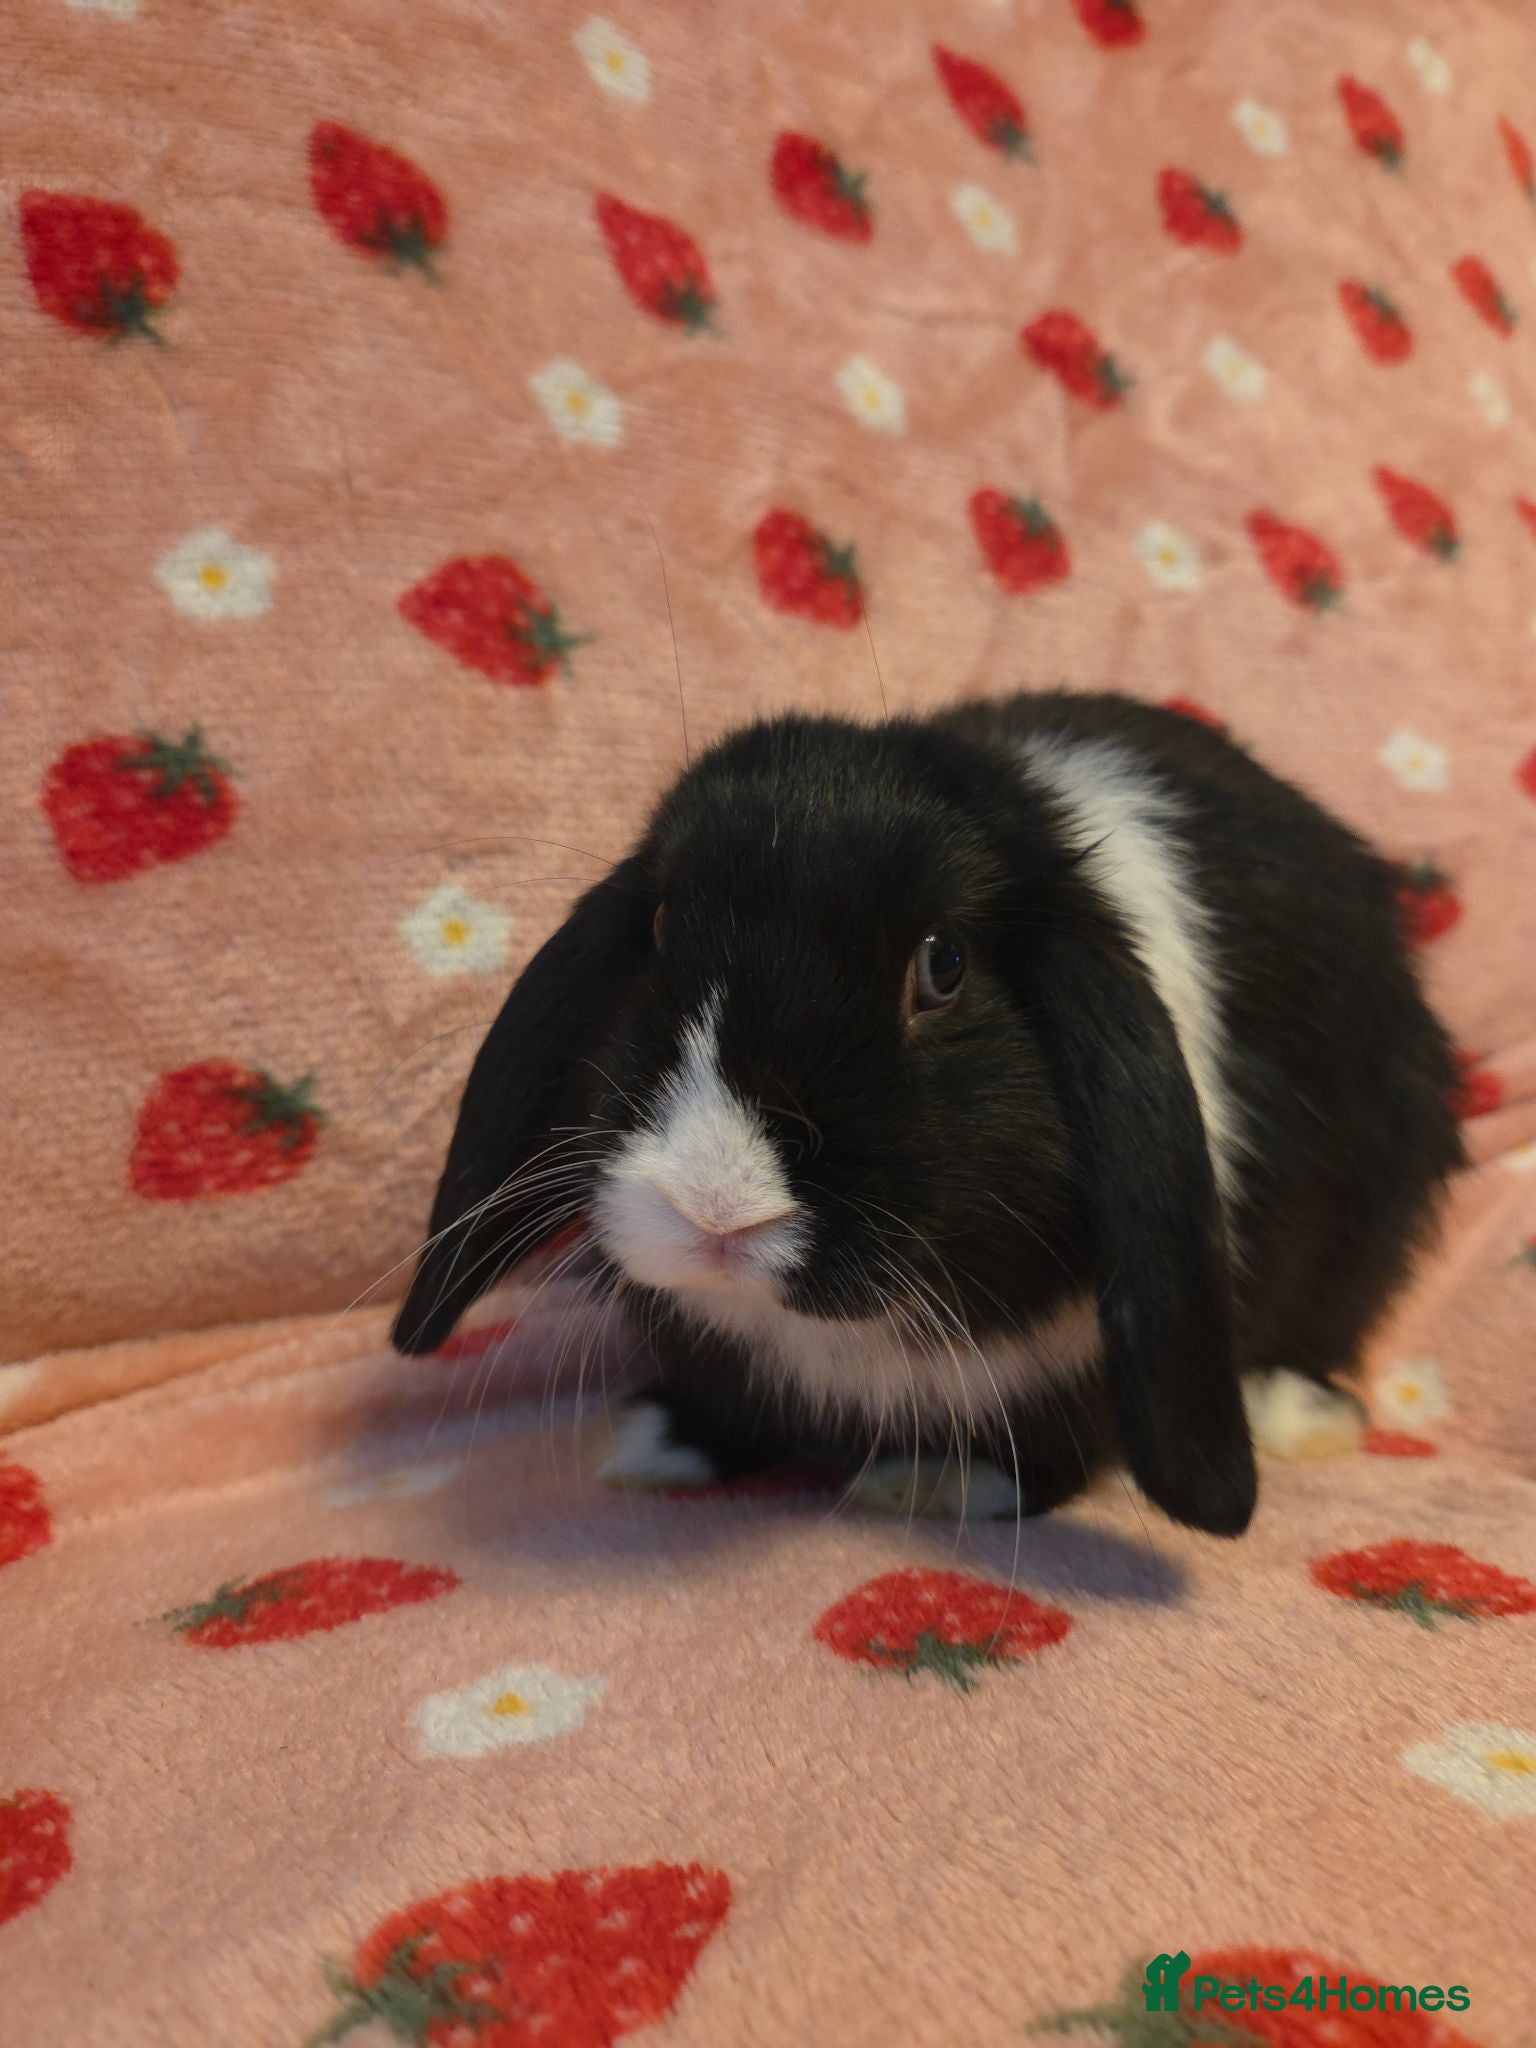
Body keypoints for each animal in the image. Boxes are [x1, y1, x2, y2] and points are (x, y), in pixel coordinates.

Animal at [391, 691, 1464, 1536]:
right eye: (656, 930)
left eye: (942, 966)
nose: (714, 1209)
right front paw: (647, 1442)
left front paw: (940, 1484)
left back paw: (1293, 1413)